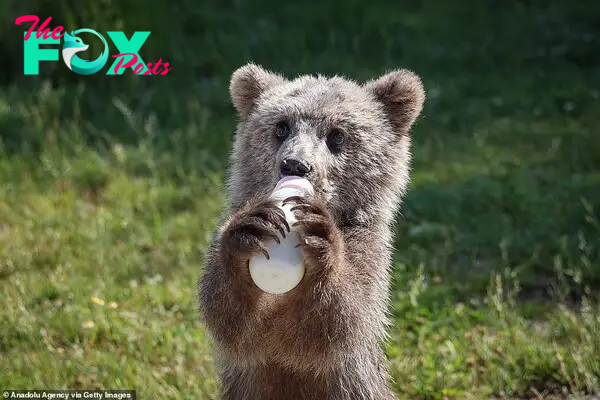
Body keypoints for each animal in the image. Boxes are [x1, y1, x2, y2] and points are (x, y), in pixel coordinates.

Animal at [199, 64, 424, 398]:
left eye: (337, 135)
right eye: (281, 127)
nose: (295, 164)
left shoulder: (366, 247)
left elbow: (336, 324)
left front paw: (320, 240)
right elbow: (226, 317)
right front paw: (250, 231)